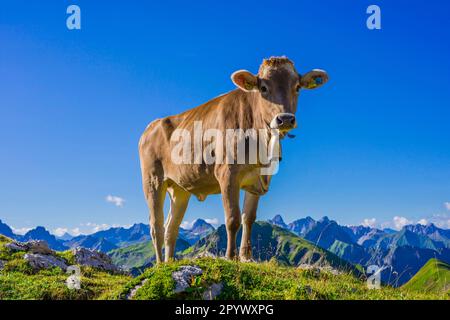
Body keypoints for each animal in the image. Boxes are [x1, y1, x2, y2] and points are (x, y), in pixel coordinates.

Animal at [137, 57, 326, 262]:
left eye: (297, 87)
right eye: (263, 87)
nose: (285, 119)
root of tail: (150, 127)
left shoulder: (257, 179)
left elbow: (248, 218)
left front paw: (245, 256)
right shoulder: (227, 173)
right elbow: (233, 218)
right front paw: (230, 256)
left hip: (179, 189)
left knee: (171, 228)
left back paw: (170, 262)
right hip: (153, 181)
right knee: (156, 227)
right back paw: (159, 264)